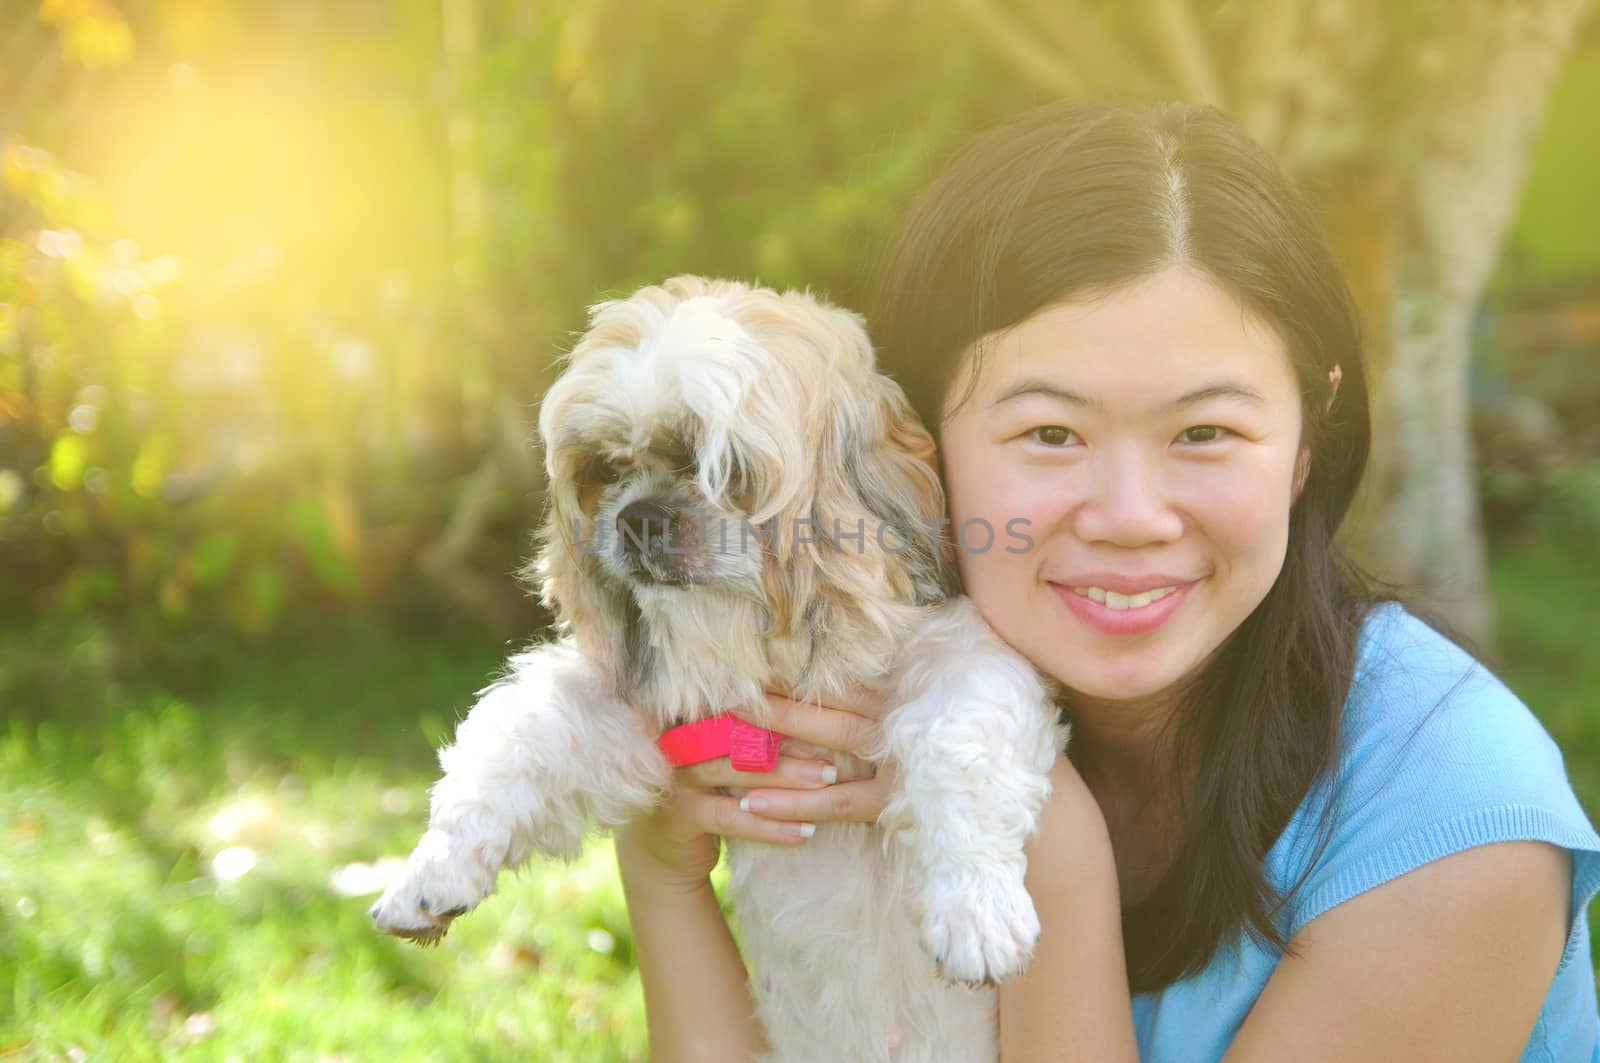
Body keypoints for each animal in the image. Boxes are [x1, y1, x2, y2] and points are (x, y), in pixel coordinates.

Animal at [369, 275, 1068, 1063]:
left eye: (724, 471)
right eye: (608, 470)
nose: (640, 515)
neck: (765, 655)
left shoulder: (959, 650)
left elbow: (961, 740)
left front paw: (976, 908)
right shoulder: (635, 715)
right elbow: (512, 739)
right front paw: (430, 871)